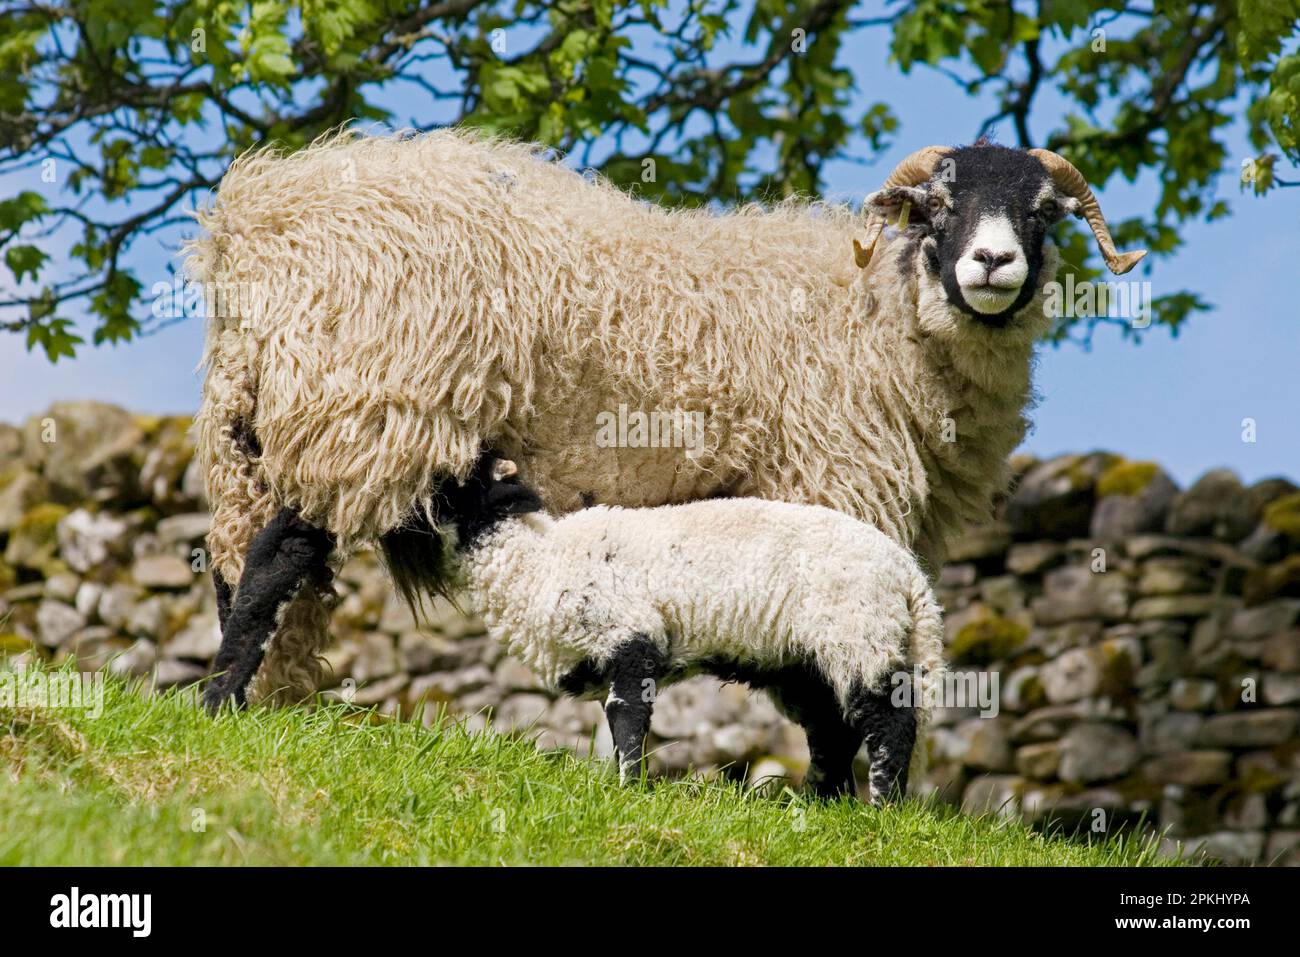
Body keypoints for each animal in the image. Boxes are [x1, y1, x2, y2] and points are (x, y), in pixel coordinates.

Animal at [188, 130, 1144, 743]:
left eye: (1043, 212)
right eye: (938, 206)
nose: (993, 263)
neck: (883, 311)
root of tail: (258, 217)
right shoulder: (830, 492)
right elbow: (827, 689)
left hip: (256, 431)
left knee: (243, 567)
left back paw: (253, 695)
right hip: (369, 407)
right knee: (279, 555)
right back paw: (221, 702)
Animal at [416, 452, 935, 806]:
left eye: (459, 487)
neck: (537, 563)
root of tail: (909, 575)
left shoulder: (629, 632)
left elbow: (625, 715)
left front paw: (629, 787)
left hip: (860, 631)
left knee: (889, 719)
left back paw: (881, 806)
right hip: (807, 663)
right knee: (831, 729)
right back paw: (816, 803)